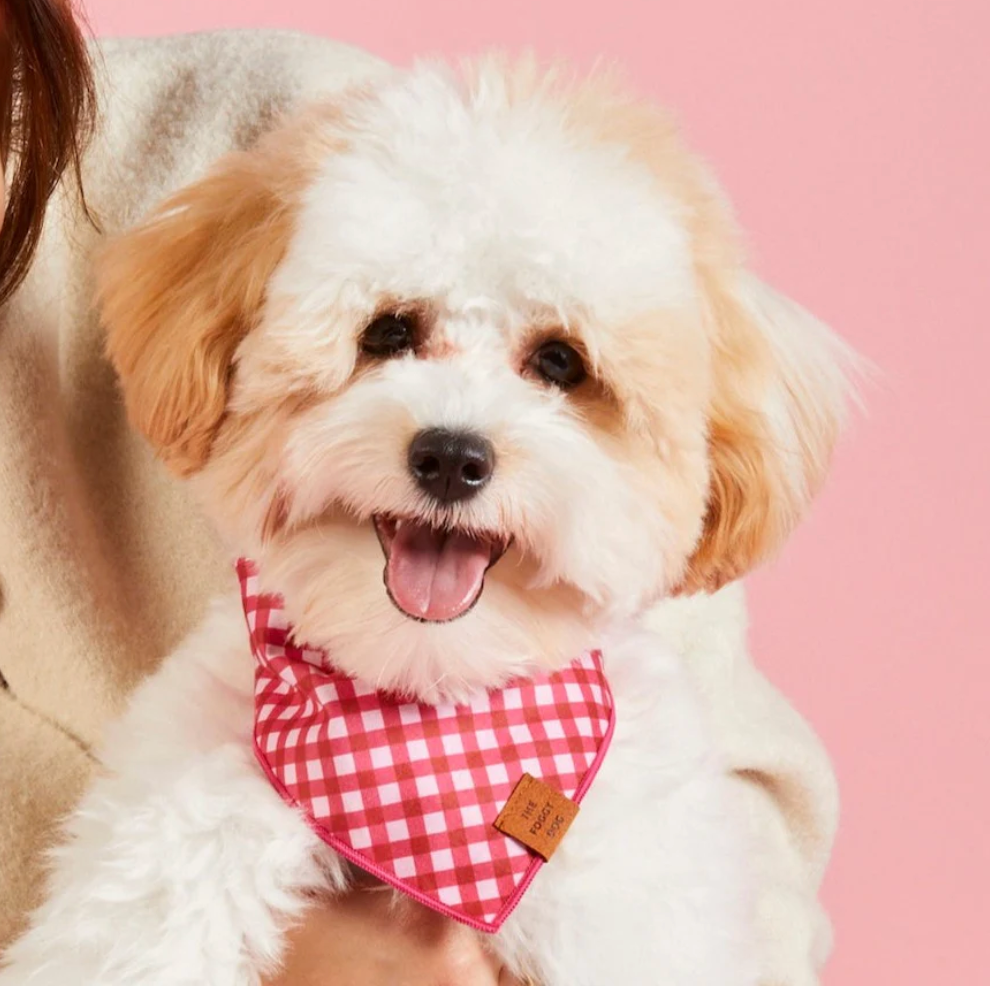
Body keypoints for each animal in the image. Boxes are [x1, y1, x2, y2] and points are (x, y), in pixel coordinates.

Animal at [0, 54, 852, 984]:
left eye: (561, 362)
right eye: (387, 332)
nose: (450, 455)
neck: (423, 728)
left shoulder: (637, 893)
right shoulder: (195, 762)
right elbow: (161, 881)